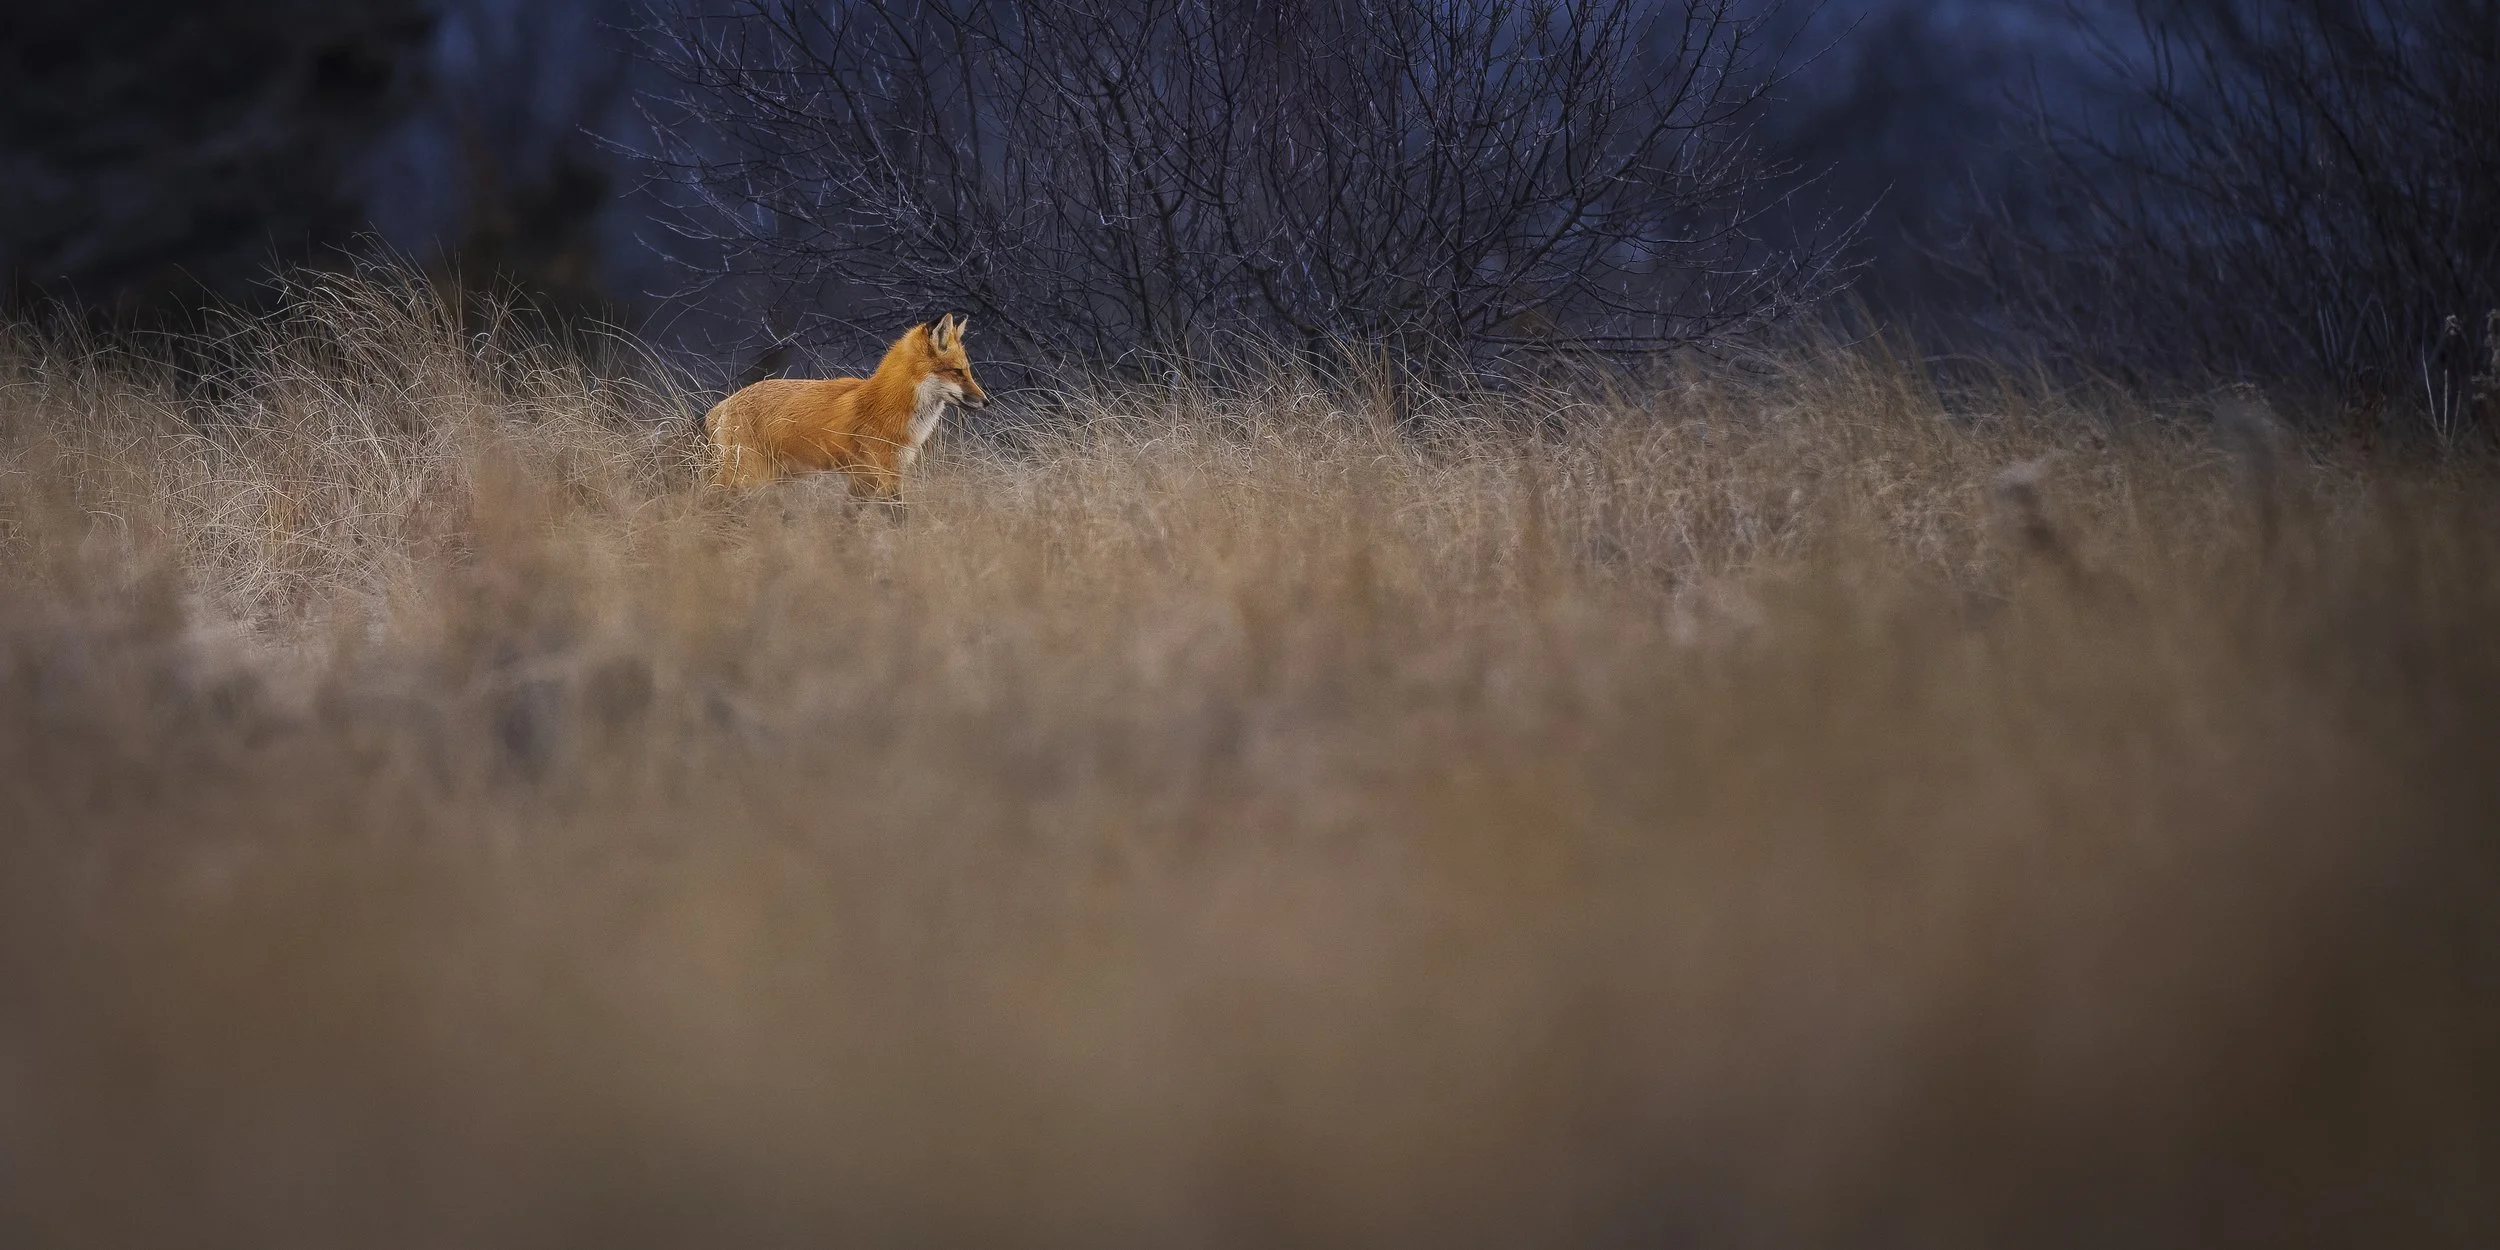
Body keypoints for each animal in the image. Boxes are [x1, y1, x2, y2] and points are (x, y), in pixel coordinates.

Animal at [703, 314, 988, 497]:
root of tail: (724, 403)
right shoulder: (879, 473)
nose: (986, 401)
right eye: (957, 372)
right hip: (748, 477)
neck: (887, 403)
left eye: (968, 371)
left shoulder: (875, 477)